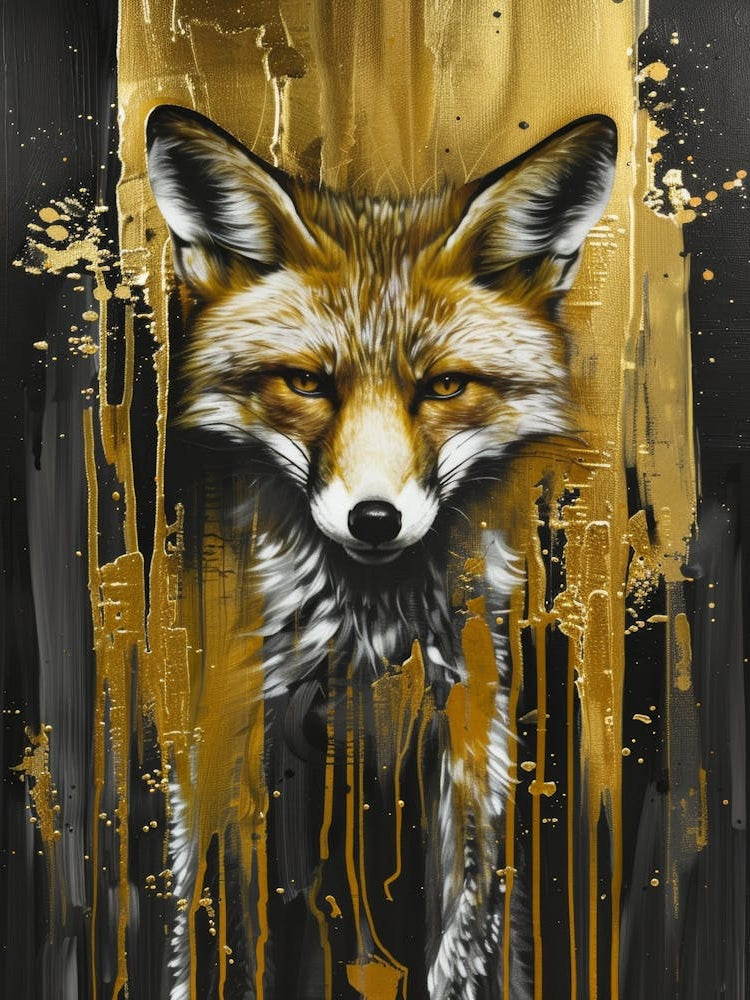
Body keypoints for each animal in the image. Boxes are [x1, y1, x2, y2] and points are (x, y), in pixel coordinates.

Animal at [147, 104, 616, 1000]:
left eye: (444, 386)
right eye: (307, 383)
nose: (373, 519)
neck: (368, 641)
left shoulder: (469, 740)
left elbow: (463, 941)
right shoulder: (232, 745)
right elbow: (219, 936)